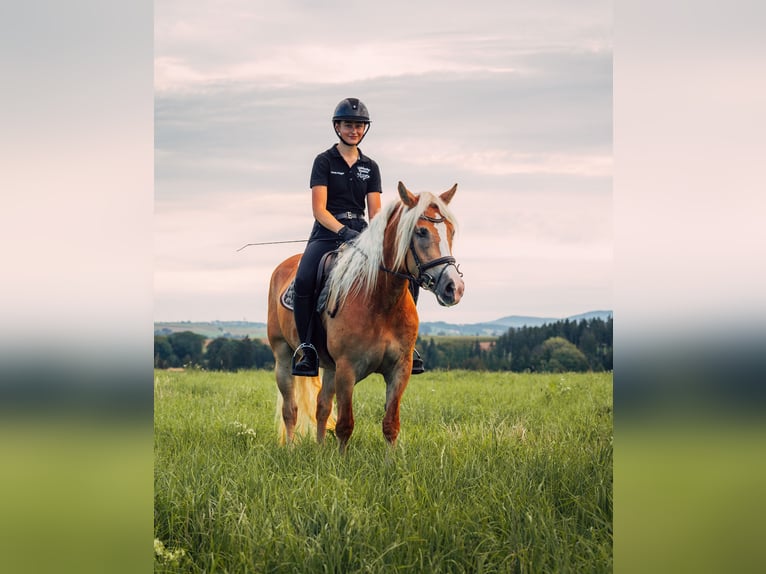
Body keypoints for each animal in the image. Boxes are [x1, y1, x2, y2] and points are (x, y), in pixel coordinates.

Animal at [268, 182, 464, 452]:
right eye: (421, 232)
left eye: (451, 231)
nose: (453, 287)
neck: (381, 301)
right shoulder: (347, 369)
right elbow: (345, 425)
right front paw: (341, 461)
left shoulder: (399, 369)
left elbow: (391, 424)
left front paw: (390, 462)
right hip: (284, 356)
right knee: (291, 409)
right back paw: (289, 448)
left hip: (330, 367)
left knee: (321, 407)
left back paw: (319, 449)